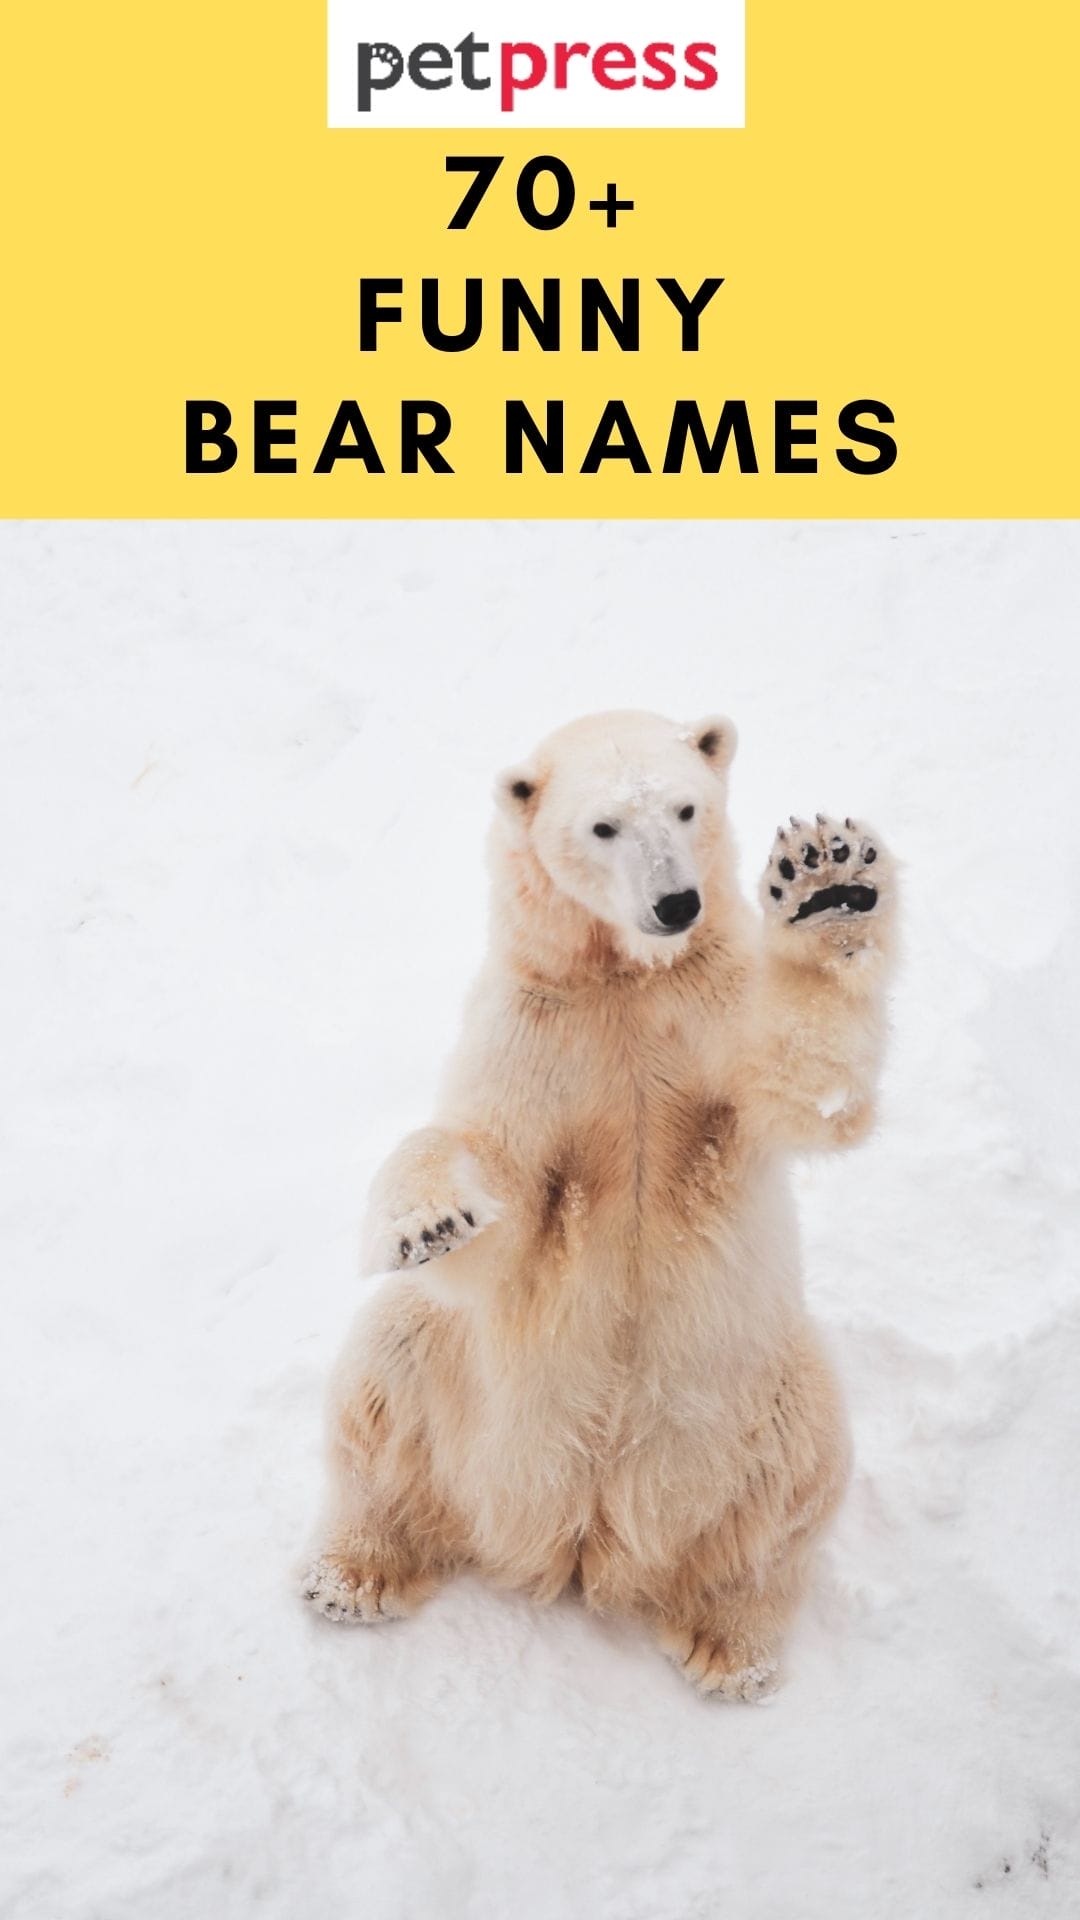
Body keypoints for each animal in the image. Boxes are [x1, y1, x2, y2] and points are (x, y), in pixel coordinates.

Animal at [303, 709, 897, 1699]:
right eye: (603, 827)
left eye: (687, 807)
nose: (677, 904)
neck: (627, 979)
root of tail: (587, 1538)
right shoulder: (536, 1027)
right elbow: (490, 1179)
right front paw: (429, 1222)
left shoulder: (711, 1007)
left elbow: (804, 1085)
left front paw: (829, 886)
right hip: (468, 1397)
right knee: (388, 1370)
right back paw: (352, 1572)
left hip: (758, 1383)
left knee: (794, 1478)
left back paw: (729, 1644)